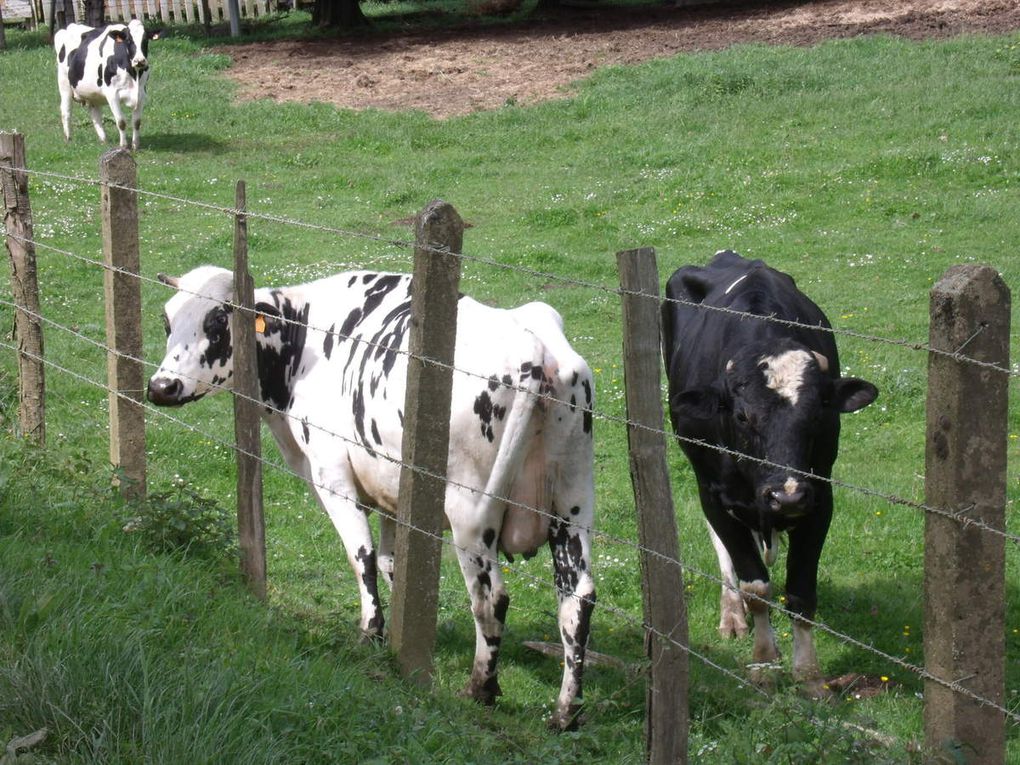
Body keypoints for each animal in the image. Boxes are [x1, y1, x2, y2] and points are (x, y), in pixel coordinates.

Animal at [54, 19, 157, 150]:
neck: (134, 74)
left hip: (92, 94)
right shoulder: (112, 94)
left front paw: (135, 145)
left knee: (96, 116)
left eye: (145, 39)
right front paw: (123, 146)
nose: (140, 61)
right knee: (66, 111)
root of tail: (69, 27)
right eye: (128, 40)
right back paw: (68, 138)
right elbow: (121, 122)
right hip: (64, 84)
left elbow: (137, 122)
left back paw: (104, 140)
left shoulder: (142, 93)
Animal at [148, 267, 595, 730]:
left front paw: (371, 632)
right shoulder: (392, 491)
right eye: (167, 321)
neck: (303, 340)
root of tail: (537, 350)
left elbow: (360, 554)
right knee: (577, 600)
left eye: (220, 321)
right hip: (572, 504)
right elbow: (390, 562)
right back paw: (566, 711)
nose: (162, 386)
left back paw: (480, 689)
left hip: (470, 513)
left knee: (491, 598)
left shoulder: (331, 474)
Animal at [660, 252, 877, 693]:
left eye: (818, 413)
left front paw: (809, 676)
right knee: (725, 549)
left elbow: (800, 593)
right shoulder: (715, 492)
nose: (786, 495)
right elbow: (756, 586)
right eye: (743, 416)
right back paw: (732, 613)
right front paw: (763, 661)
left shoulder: (820, 495)